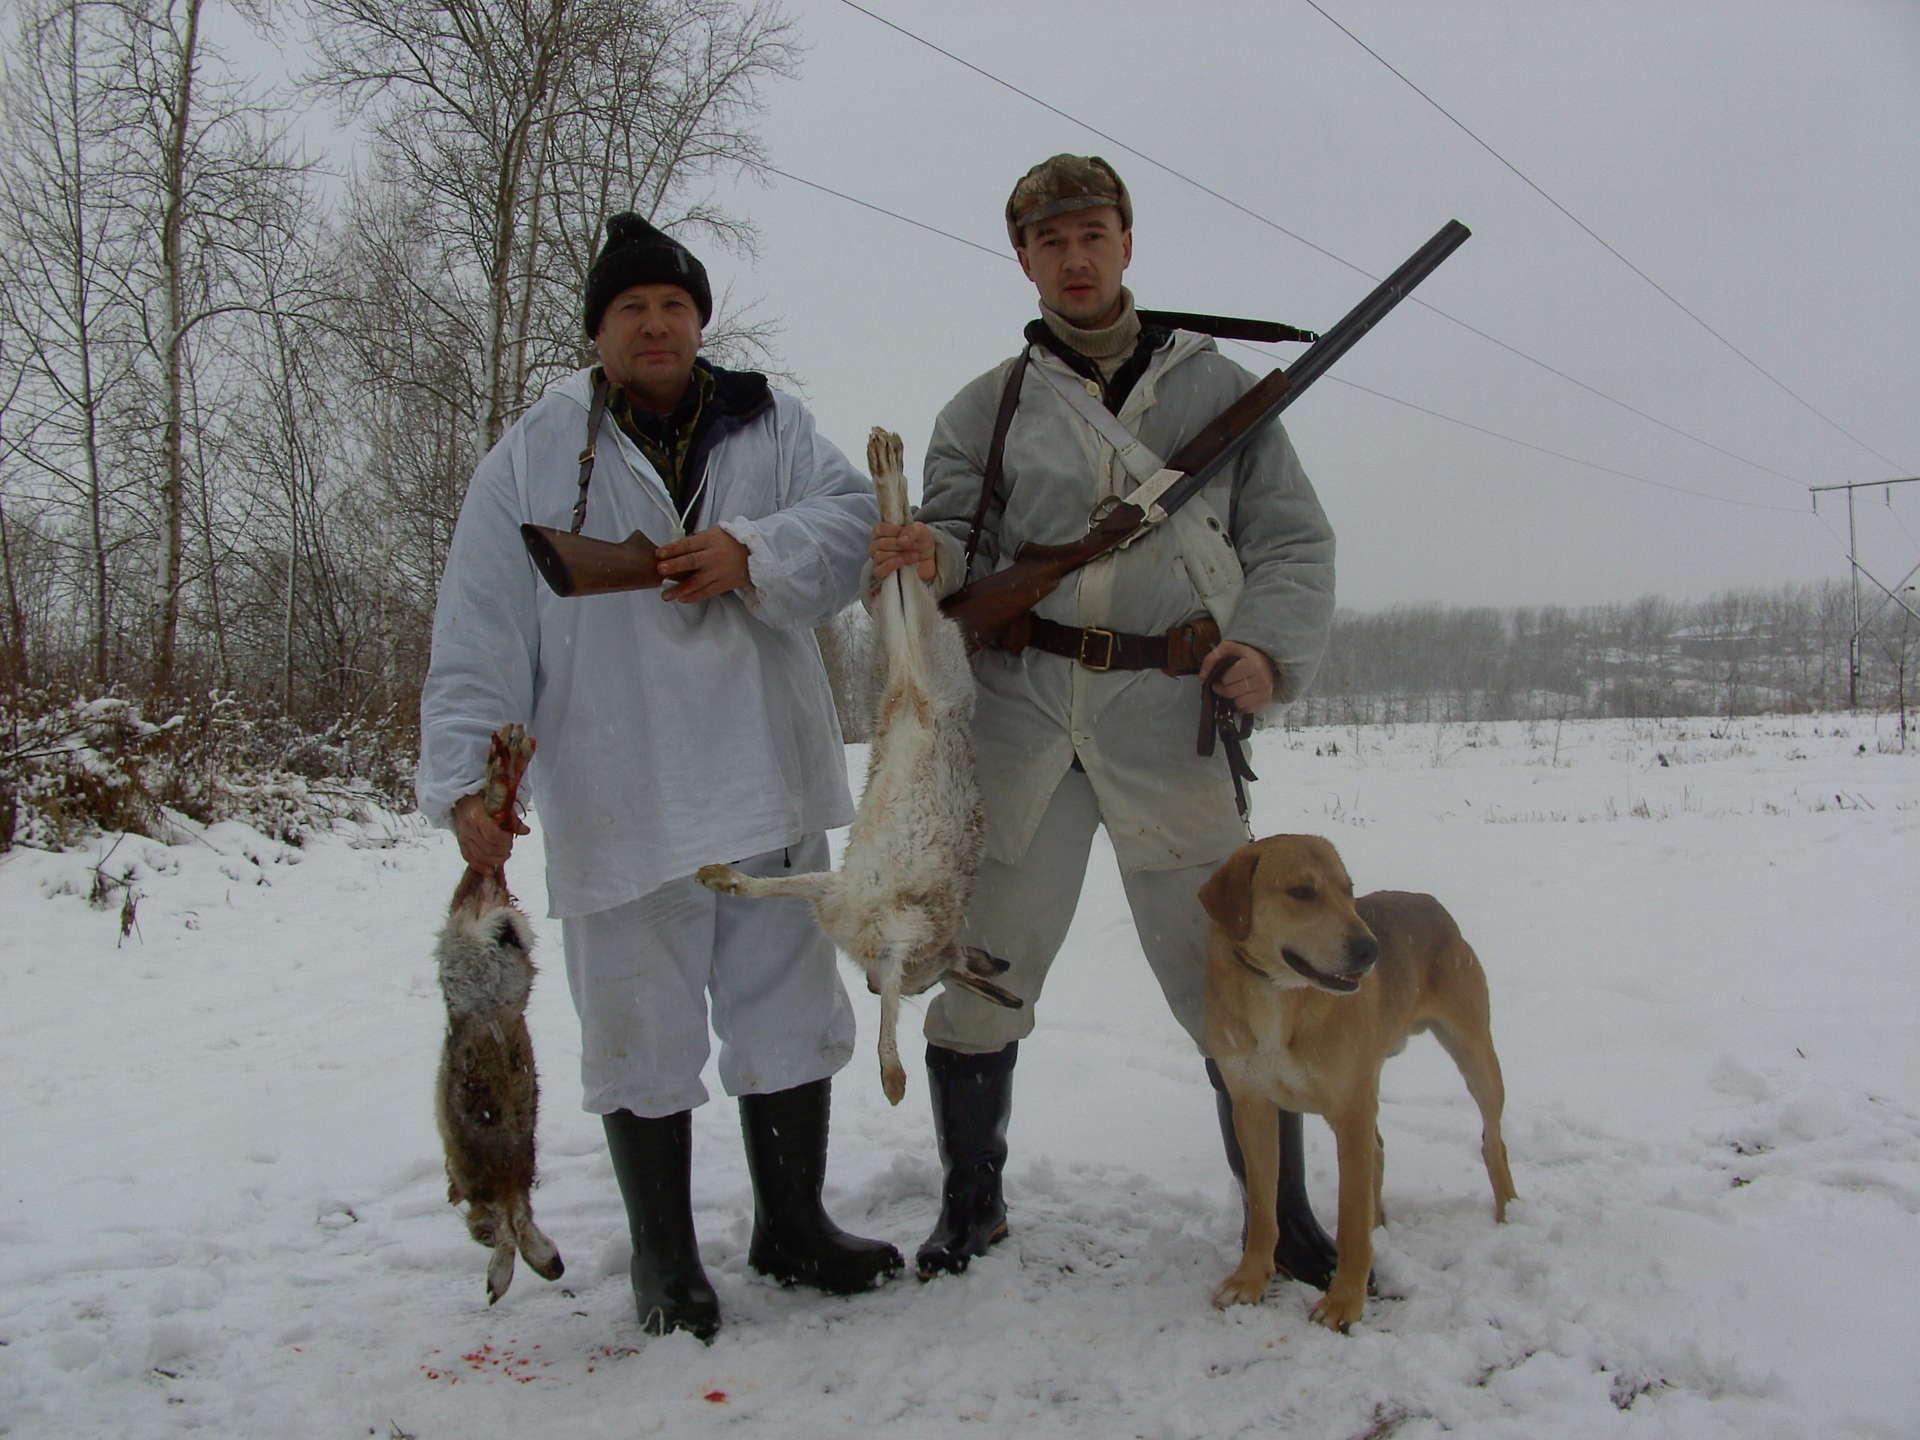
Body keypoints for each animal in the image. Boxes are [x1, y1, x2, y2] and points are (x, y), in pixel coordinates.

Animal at [1198, 840, 1512, 1336]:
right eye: (1301, 891)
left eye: (1349, 889)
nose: (1370, 950)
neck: (1280, 996)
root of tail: (1431, 903)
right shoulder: (1251, 1107)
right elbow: (1265, 1208)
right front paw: (1250, 1279)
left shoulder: (1349, 1114)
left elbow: (1349, 1217)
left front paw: (1344, 1301)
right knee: (1380, 1150)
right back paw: (1379, 1223)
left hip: (1475, 1054)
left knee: (1492, 1141)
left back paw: (1511, 1216)